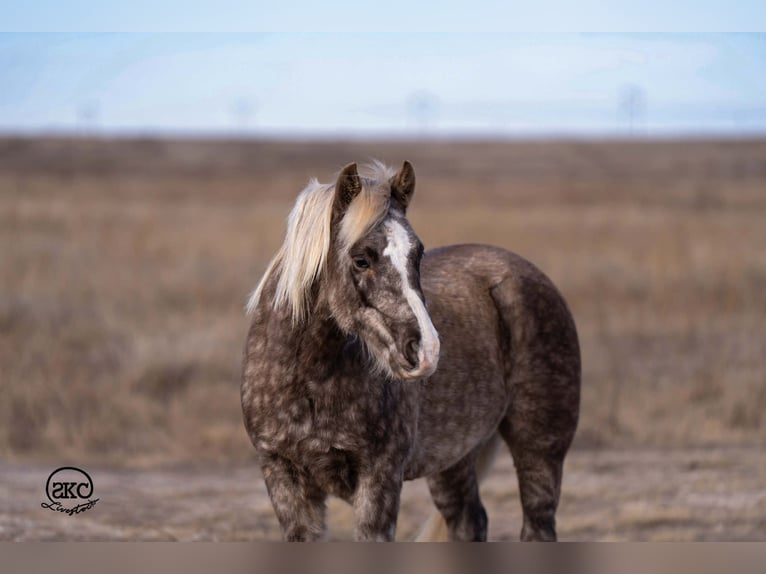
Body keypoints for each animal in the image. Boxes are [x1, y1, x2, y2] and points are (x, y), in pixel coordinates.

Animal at [241, 161, 580, 541]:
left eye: (417, 254)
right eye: (361, 260)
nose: (426, 350)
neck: (310, 380)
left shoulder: (380, 478)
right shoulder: (283, 478)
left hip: (540, 448)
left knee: (538, 523)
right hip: (454, 460)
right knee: (470, 520)